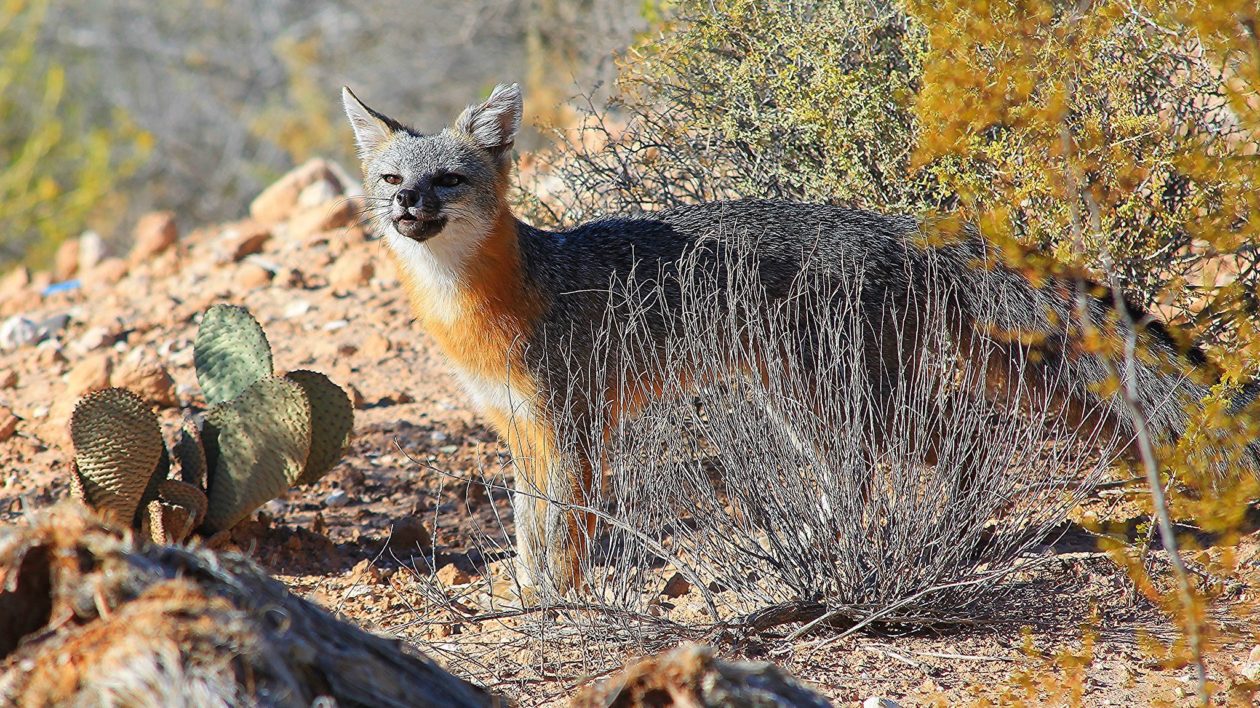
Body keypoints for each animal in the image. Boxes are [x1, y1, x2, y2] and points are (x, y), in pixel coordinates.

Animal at [342, 81, 1249, 589]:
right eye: (391, 178)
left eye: (447, 180)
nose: (405, 207)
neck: (497, 296)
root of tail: (894, 226)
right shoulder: (521, 433)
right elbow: (531, 532)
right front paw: (528, 596)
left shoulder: (572, 429)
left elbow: (562, 537)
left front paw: (560, 607)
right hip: (807, 402)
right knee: (893, 465)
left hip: (831, 400)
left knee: (947, 451)